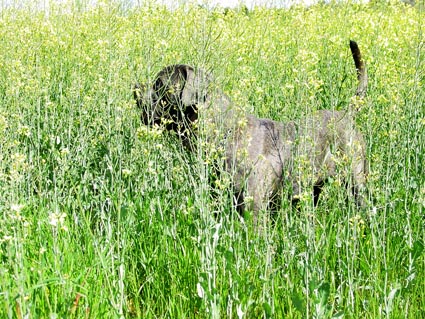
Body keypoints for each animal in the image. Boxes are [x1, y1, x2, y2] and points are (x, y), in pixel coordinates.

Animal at [133, 40, 368, 222]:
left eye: (159, 84)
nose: (135, 88)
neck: (224, 131)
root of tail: (347, 112)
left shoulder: (253, 203)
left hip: (356, 178)